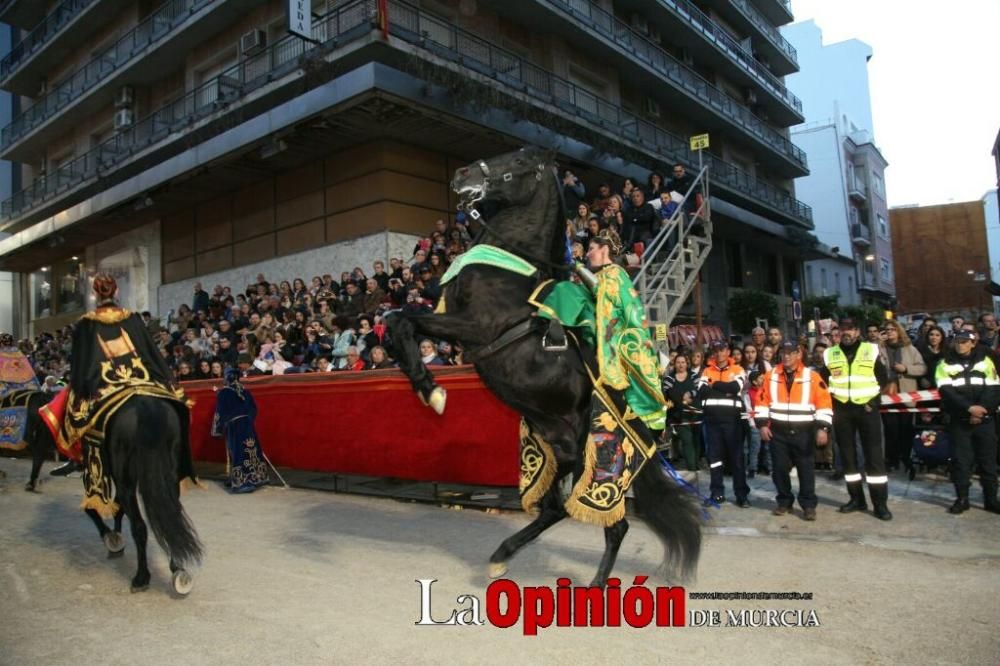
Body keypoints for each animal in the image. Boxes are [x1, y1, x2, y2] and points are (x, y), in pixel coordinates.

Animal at [386, 148, 700, 584]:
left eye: (520, 164)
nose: (463, 175)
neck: (507, 270)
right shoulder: (452, 320)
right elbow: (398, 324)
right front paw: (424, 386)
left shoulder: (475, 327)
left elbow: (402, 320)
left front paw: (432, 391)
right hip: (559, 446)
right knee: (556, 508)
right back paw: (502, 555)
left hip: (597, 461)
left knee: (613, 523)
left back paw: (596, 585)